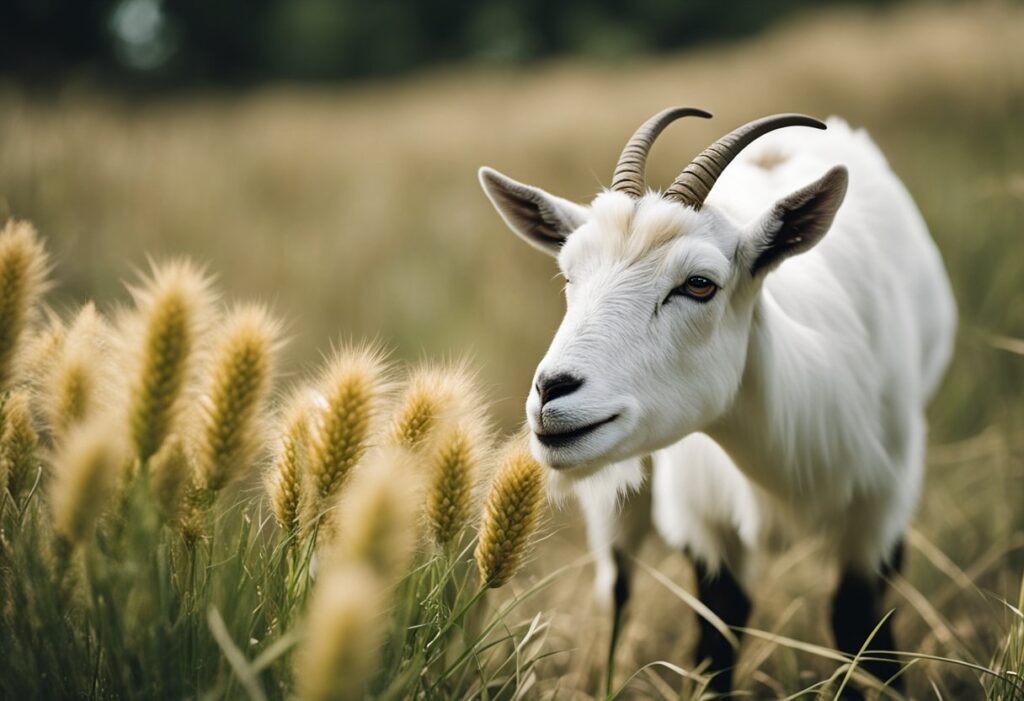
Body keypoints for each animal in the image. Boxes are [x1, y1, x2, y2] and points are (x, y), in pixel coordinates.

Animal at [478, 108, 956, 695]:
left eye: (699, 284)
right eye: (569, 275)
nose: (551, 390)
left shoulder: (882, 509)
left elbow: (861, 629)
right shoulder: (703, 518)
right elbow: (717, 637)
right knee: (617, 586)